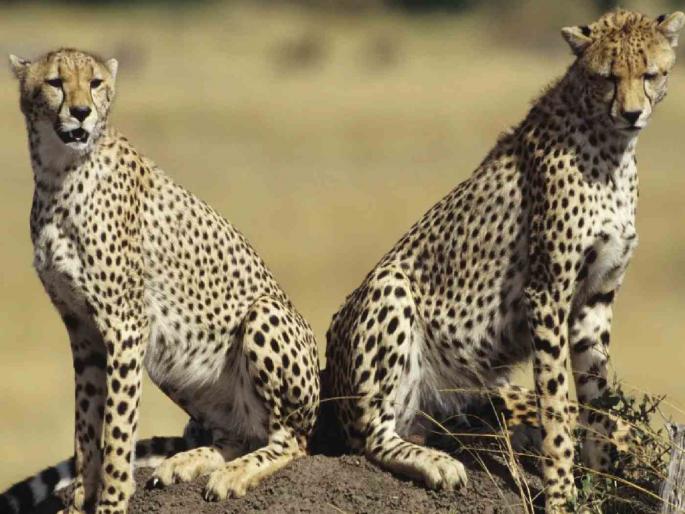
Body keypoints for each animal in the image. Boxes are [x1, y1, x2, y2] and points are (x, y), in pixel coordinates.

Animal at [2, 48, 320, 514]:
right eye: (56, 82)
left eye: (95, 83)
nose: (81, 112)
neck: (60, 173)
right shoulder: (82, 329)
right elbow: (86, 423)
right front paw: (80, 497)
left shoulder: (126, 324)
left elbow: (117, 431)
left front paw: (112, 500)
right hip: (177, 360)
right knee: (241, 435)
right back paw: (186, 462)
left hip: (261, 316)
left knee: (291, 441)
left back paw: (233, 475)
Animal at [323, 9, 683, 511]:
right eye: (607, 78)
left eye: (650, 74)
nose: (632, 114)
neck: (610, 145)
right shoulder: (546, 292)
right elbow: (557, 402)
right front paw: (560, 494)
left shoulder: (595, 297)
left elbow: (597, 400)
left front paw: (601, 484)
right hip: (388, 287)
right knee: (370, 435)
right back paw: (437, 464)